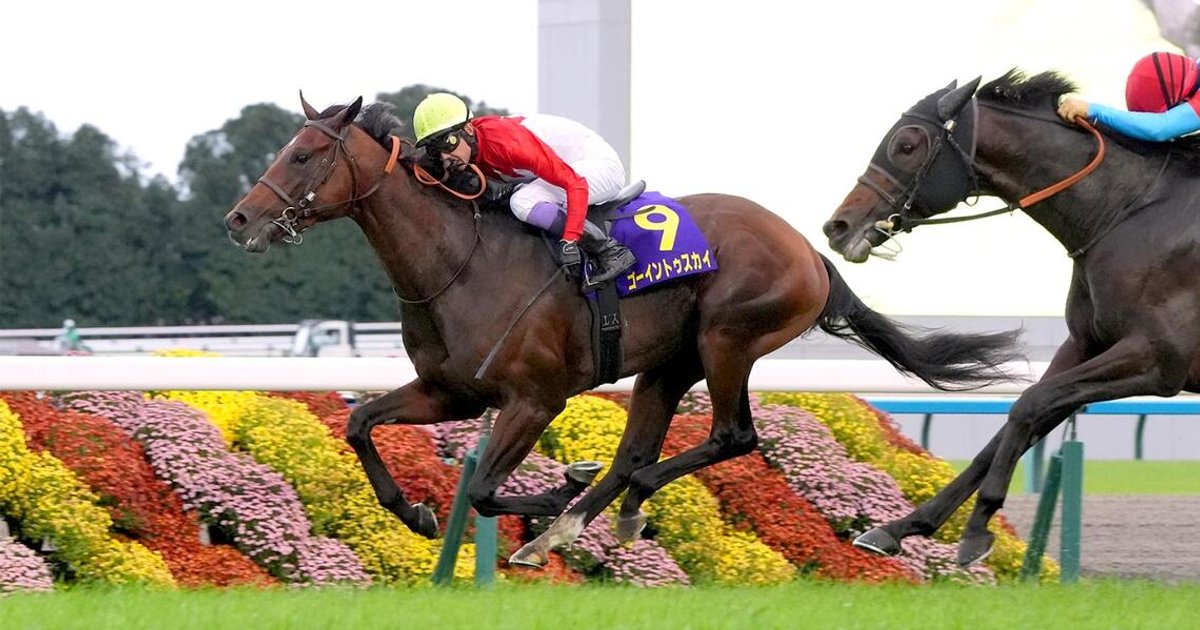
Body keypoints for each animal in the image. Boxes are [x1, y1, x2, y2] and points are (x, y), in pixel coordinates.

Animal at [223, 95, 1023, 567]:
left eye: (302, 154)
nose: (238, 218)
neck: (460, 261)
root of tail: (808, 248)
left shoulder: (534, 400)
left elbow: (484, 489)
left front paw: (546, 495)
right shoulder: (450, 391)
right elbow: (360, 423)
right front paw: (416, 511)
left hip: (727, 340)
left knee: (728, 437)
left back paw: (589, 513)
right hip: (668, 363)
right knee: (636, 451)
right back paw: (582, 521)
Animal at [822, 69, 1200, 567]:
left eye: (906, 144)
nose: (838, 226)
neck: (1127, 209)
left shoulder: (1157, 358)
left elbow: (1028, 405)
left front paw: (977, 529)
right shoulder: (1084, 347)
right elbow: (1008, 428)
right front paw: (899, 527)